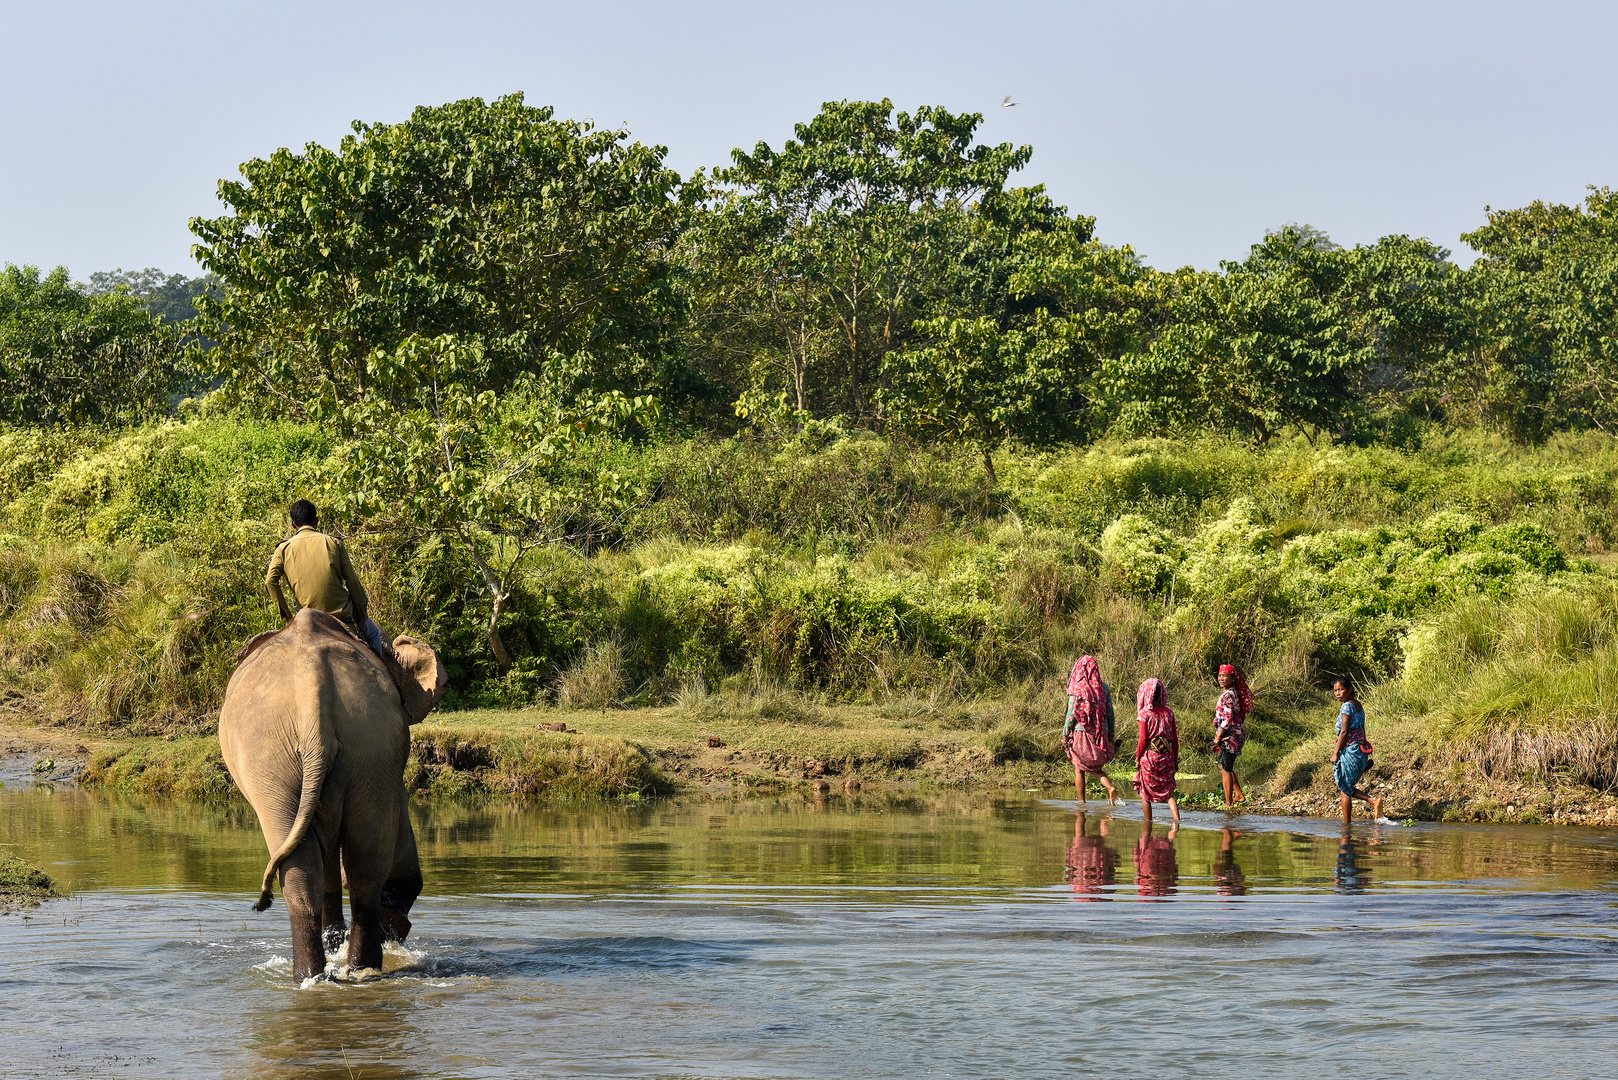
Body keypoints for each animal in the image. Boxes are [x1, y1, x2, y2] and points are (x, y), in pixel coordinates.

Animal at [221, 608, 449, 977]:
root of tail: (312, 692)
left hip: (309, 753)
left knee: (323, 863)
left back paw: (336, 972)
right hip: (355, 746)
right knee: (355, 864)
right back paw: (344, 969)